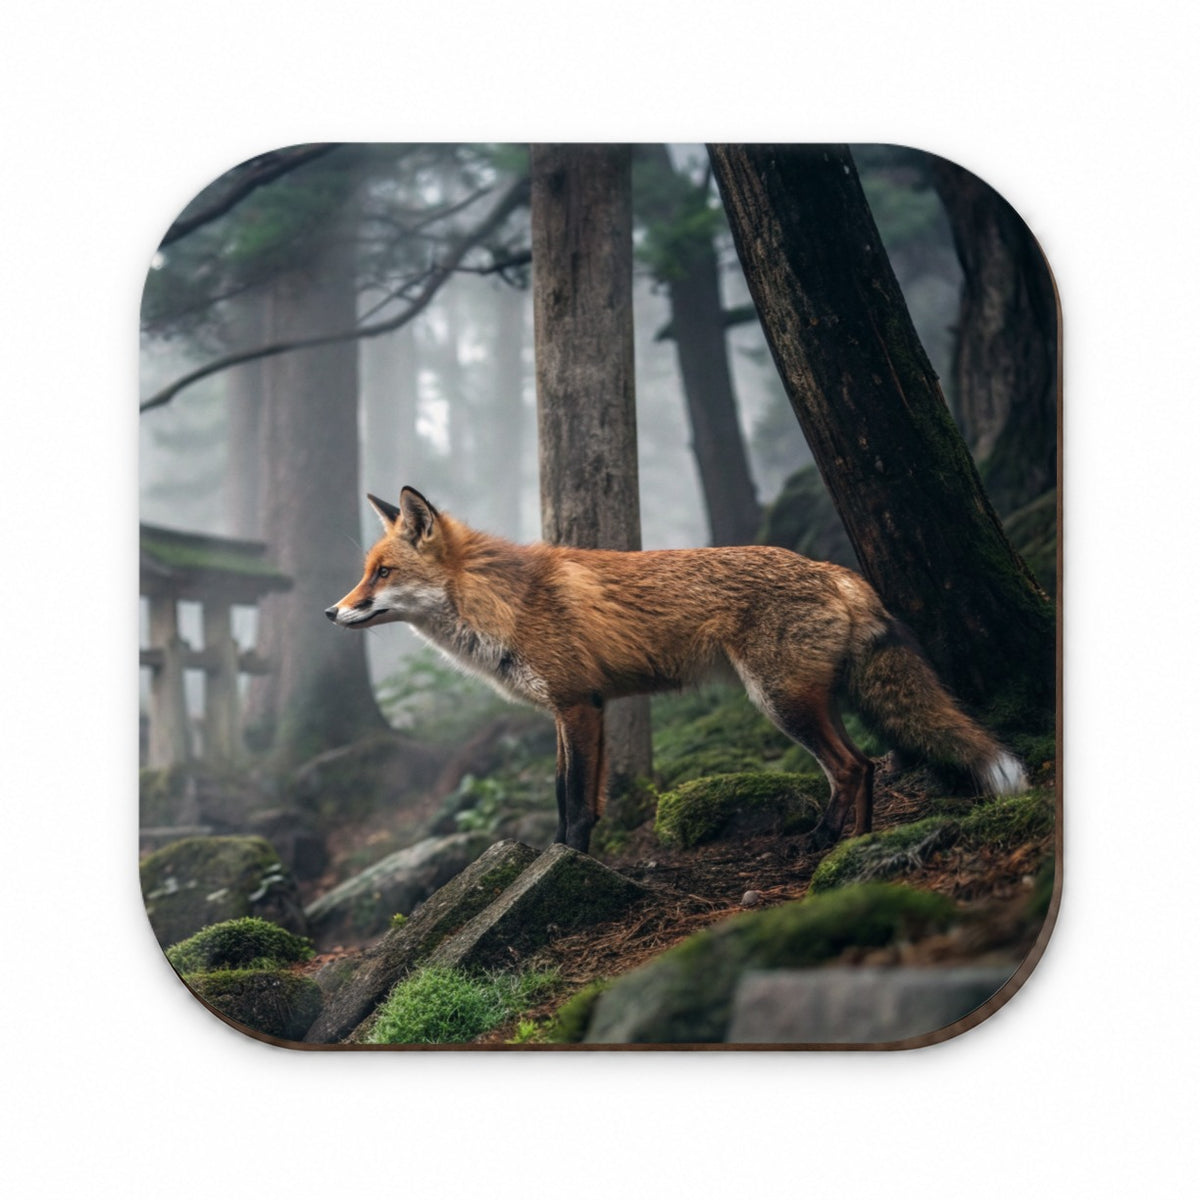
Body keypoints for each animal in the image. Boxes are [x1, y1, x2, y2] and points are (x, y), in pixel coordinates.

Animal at [326, 486, 1027, 855]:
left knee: (852, 767)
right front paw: (559, 856)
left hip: (780, 701)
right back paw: (853, 842)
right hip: (812, 699)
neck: (506, 604)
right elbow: (565, 791)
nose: (332, 611)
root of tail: (835, 570)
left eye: (382, 573)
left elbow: (575, 801)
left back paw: (820, 842)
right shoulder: (573, 708)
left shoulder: (578, 706)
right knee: (864, 765)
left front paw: (569, 862)